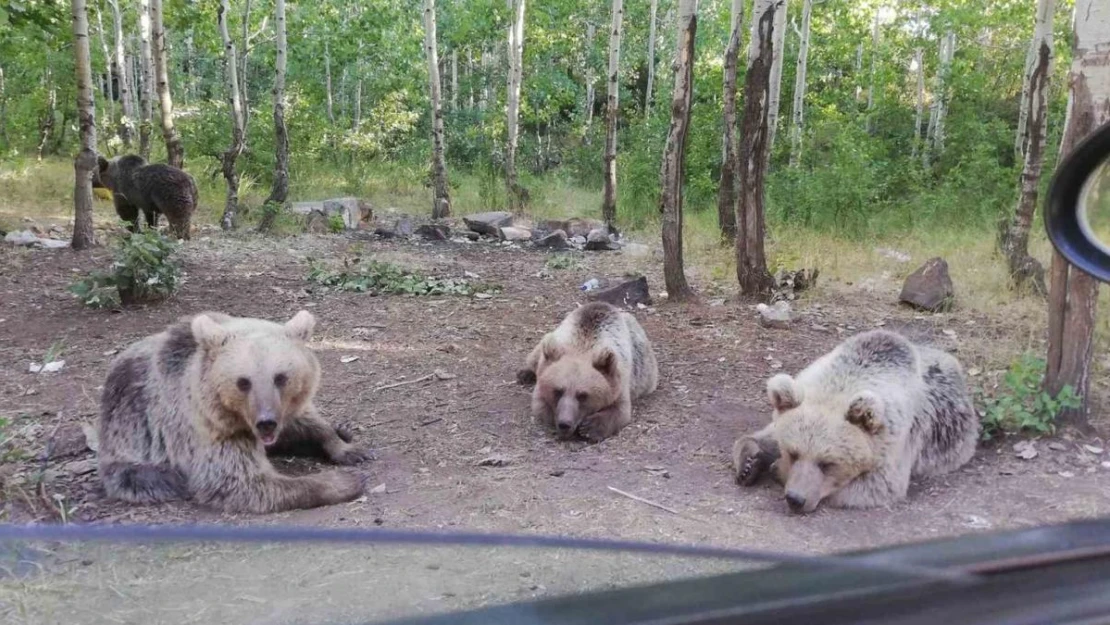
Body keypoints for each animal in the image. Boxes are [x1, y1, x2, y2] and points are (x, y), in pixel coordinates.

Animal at [98, 310, 370, 512]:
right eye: (243, 382)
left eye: (281, 377)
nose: (266, 422)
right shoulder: (209, 429)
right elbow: (242, 482)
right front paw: (344, 481)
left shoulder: (283, 412)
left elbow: (307, 423)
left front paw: (348, 447)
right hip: (128, 444)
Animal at [519, 301, 657, 439]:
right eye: (558, 391)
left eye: (583, 395)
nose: (565, 424)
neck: (584, 346)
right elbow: (541, 406)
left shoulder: (619, 378)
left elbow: (621, 411)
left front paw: (589, 427)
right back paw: (524, 374)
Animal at [732, 330, 976, 515]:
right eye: (793, 453)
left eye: (828, 463)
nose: (796, 499)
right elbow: (767, 434)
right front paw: (750, 462)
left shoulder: (895, 441)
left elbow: (878, 485)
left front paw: (776, 468)